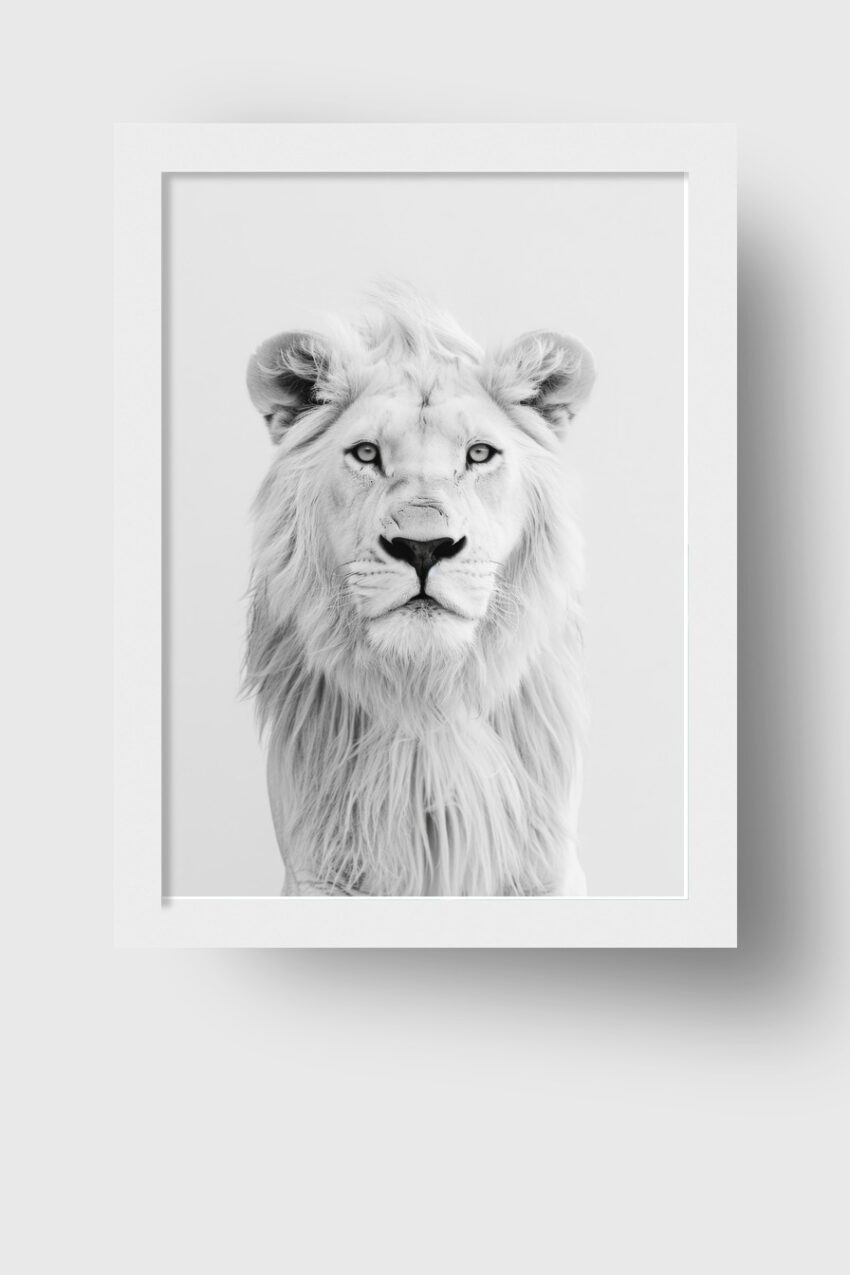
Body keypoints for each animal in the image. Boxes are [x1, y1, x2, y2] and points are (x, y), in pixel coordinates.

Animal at [244, 285, 595, 896]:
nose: (423, 547)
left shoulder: (545, 874)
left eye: (479, 454)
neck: (427, 700)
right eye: (366, 454)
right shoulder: (318, 871)